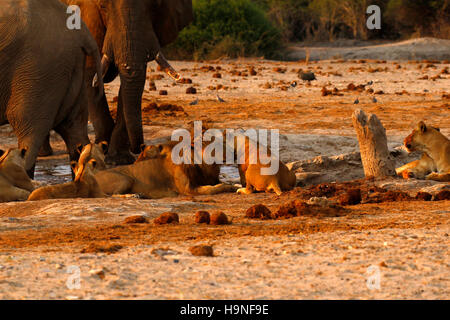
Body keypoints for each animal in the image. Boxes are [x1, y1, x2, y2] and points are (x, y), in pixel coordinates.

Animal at [58, 0, 193, 165]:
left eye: (155, 5)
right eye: (103, 6)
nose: (140, 148)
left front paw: (117, 159)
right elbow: (90, 73)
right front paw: (103, 148)